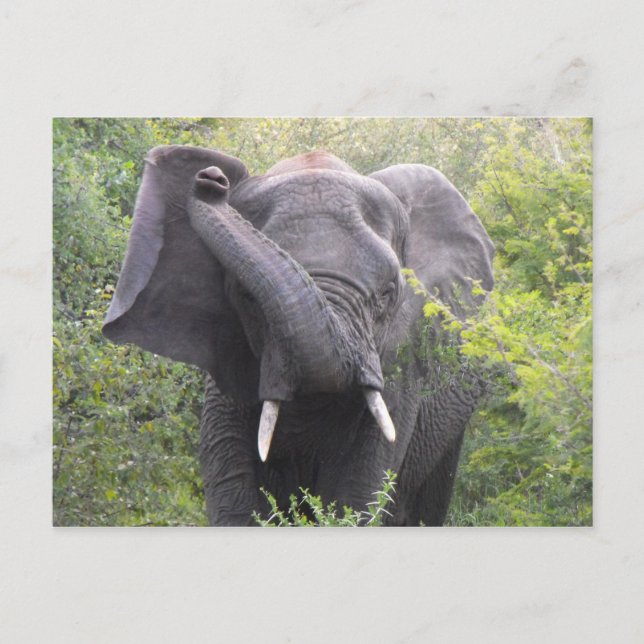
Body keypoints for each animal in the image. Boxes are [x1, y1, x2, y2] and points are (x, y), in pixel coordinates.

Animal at [102, 145, 494, 526]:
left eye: (387, 294)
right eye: (247, 295)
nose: (211, 179)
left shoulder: (400, 367)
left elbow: (356, 495)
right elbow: (237, 503)